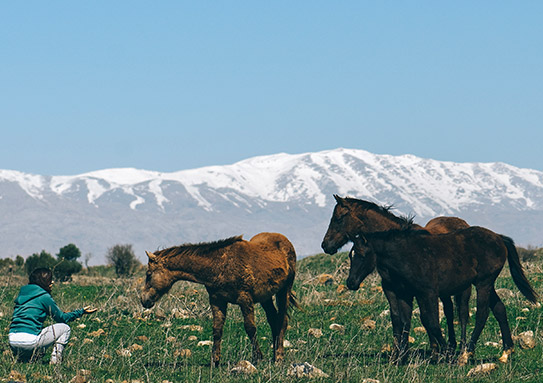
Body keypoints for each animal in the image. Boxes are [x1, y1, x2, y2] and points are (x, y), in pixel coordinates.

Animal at [140, 232, 298, 368]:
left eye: (148, 274)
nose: (144, 299)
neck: (220, 265)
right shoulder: (217, 300)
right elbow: (217, 329)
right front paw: (215, 360)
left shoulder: (245, 299)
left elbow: (250, 328)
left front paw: (258, 358)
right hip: (265, 297)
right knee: (273, 320)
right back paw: (275, 355)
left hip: (284, 291)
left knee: (282, 321)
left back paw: (279, 357)